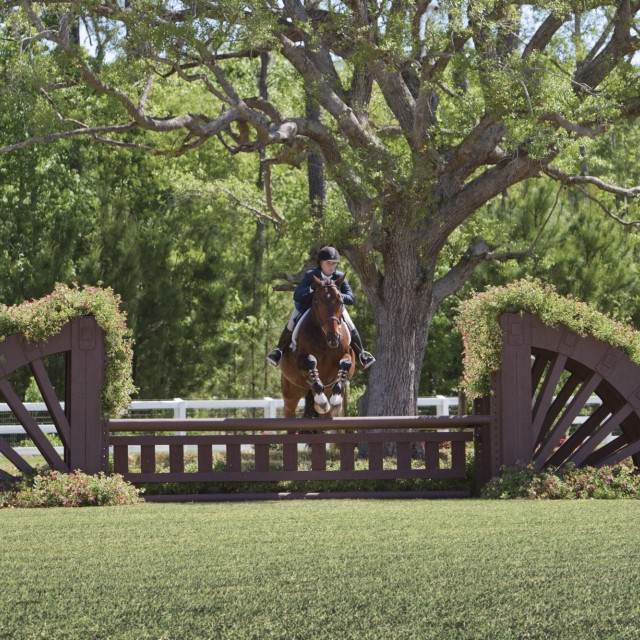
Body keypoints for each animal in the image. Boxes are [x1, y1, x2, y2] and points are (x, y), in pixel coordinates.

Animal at [280, 272, 358, 418]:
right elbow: (311, 362)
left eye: (341, 302)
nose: (334, 338)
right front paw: (321, 400)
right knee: (289, 409)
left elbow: (345, 364)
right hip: (291, 390)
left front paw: (336, 400)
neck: (325, 341)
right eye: (317, 302)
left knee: (326, 413)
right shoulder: (300, 359)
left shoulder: (347, 355)